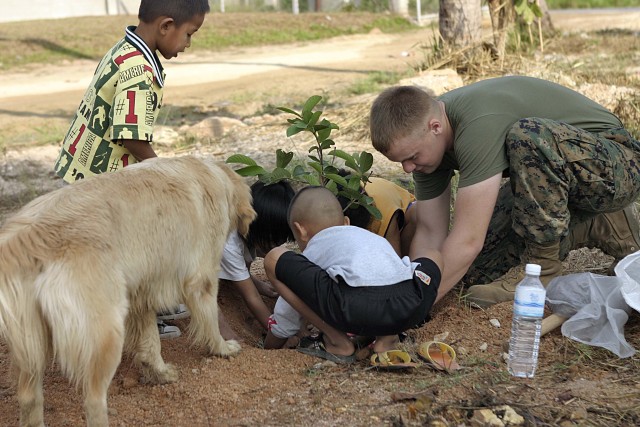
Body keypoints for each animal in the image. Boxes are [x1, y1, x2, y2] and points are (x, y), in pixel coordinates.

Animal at [0, 155, 255, 426]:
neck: (213, 174)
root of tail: (26, 239)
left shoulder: (142, 295)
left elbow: (151, 343)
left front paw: (161, 374)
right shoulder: (201, 280)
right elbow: (211, 321)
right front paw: (223, 349)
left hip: (29, 341)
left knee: (28, 396)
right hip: (104, 334)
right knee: (93, 399)